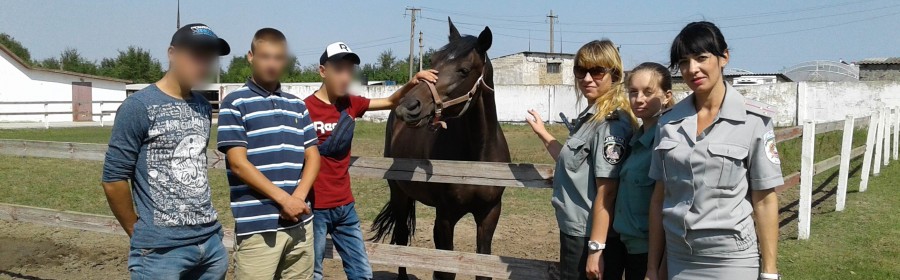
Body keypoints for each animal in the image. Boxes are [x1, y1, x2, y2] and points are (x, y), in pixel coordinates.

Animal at [372, 18, 510, 278]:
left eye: (463, 70)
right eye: (433, 62)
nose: (408, 107)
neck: (476, 159)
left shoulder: (489, 214)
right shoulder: (445, 217)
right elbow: (445, 270)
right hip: (399, 194)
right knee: (402, 238)